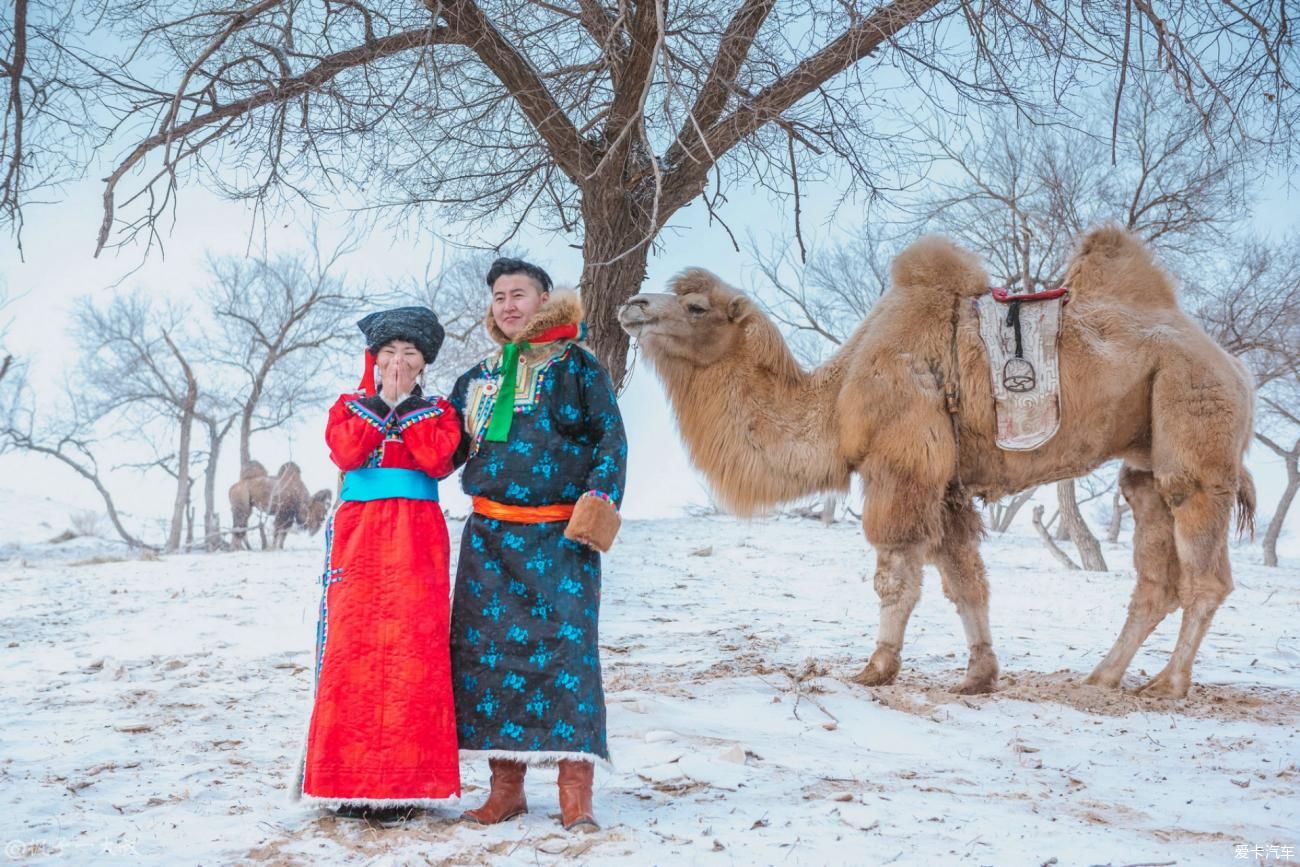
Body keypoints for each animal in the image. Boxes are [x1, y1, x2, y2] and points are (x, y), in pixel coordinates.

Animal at [624, 227, 1253, 701]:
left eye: (696, 306)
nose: (633, 304)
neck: (836, 398)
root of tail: (1232, 365)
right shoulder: (947, 484)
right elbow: (965, 580)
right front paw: (979, 676)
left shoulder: (902, 464)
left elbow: (896, 576)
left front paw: (876, 669)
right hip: (1144, 457)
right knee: (1153, 569)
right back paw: (1102, 676)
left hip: (1192, 410)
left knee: (1202, 558)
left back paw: (1168, 684)